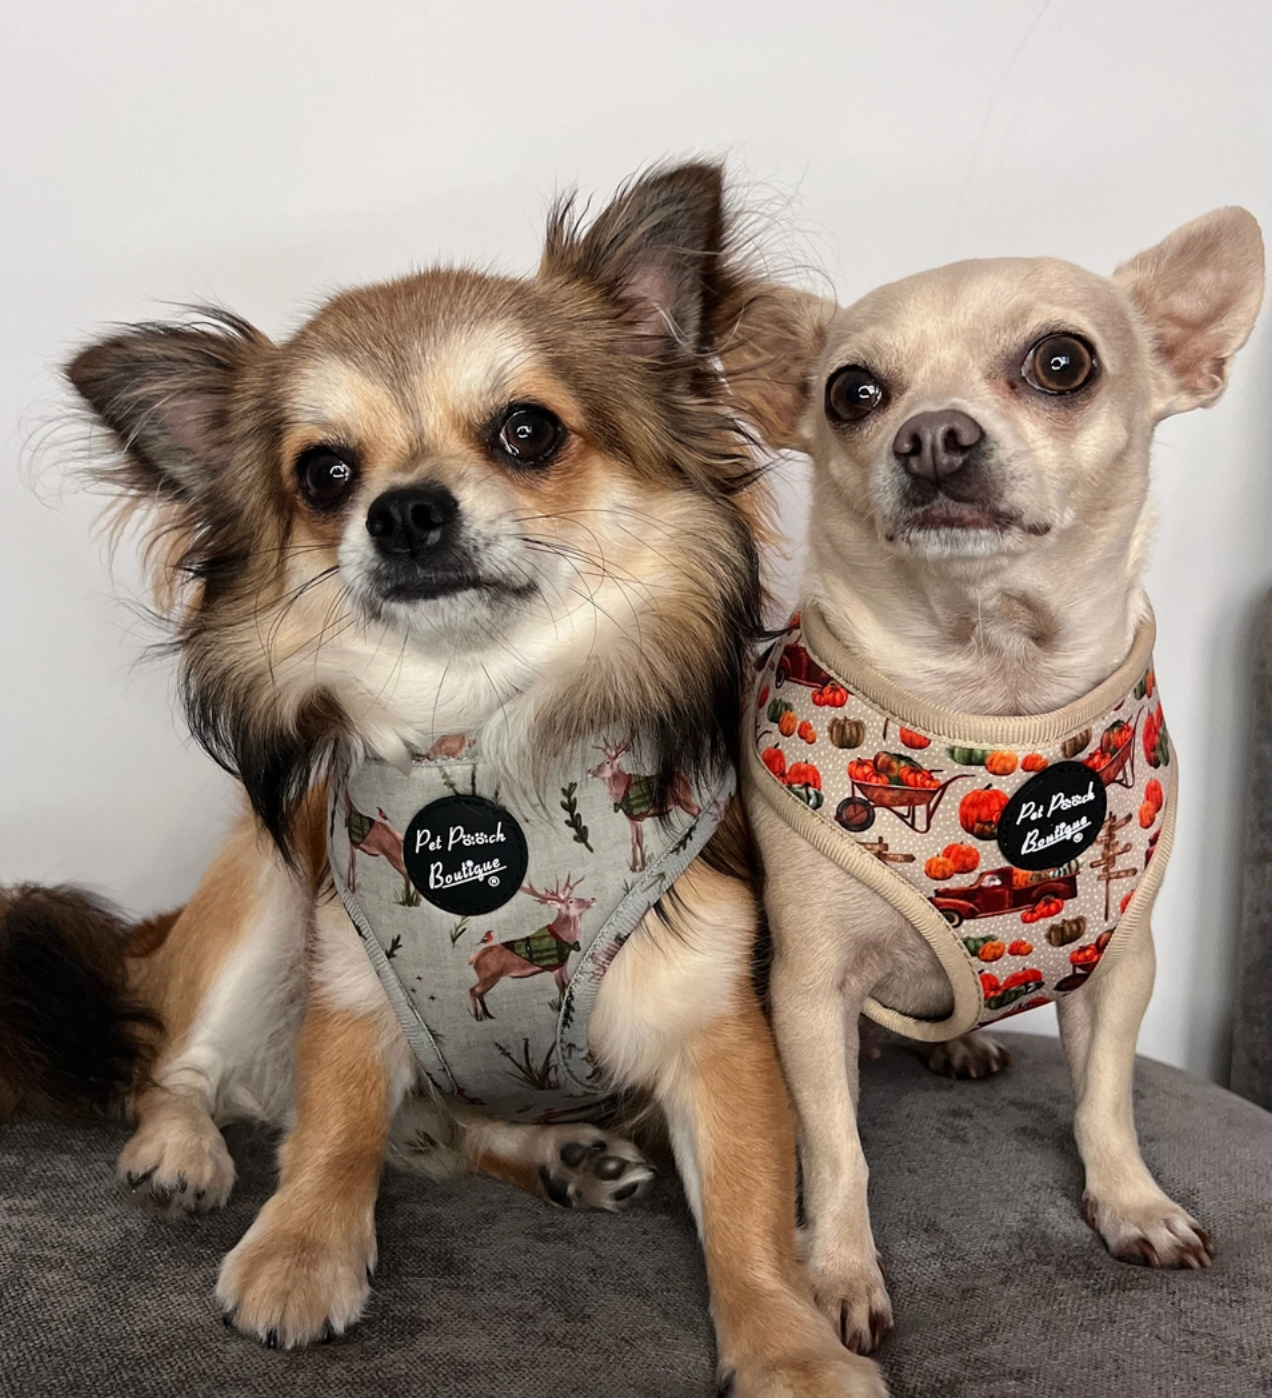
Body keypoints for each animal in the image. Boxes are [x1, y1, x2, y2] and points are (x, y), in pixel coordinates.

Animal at [0, 166, 889, 1398]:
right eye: (325, 474)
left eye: (528, 431)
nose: (406, 508)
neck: (481, 740)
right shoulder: (349, 983)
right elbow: (330, 1137)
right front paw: (299, 1252)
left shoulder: (719, 1031)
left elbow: (755, 1221)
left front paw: (792, 1349)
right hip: (266, 893)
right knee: (176, 1069)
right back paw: (180, 1150)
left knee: (463, 1130)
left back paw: (566, 1154)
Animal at [726, 206, 1263, 1353]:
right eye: (852, 392)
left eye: (1063, 362)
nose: (932, 434)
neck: (994, 686)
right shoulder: (809, 993)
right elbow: (837, 1150)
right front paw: (839, 1273)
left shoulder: (1121, 964)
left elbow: (1105, 1099)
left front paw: (1132, 1203)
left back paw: (964, 1045)